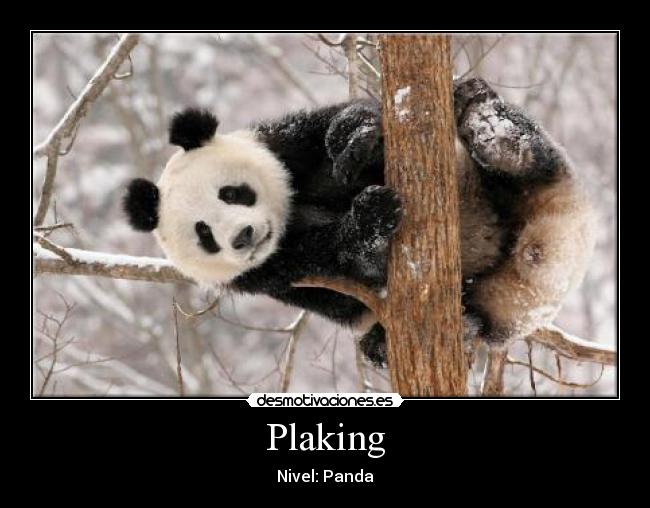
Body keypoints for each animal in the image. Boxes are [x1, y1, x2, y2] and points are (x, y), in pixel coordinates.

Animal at [123, 77, 595, 366]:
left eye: (233, 193)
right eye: (204, 234)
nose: (243, 236)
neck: (290, 217)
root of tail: (545, 253)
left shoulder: (285, 146)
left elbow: (341, 128)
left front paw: (356, 139)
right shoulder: (268, 274)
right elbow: (345, 280)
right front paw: (370, 218)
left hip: (519, 184)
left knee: (531, 158)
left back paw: (490, 127)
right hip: (492, 297)